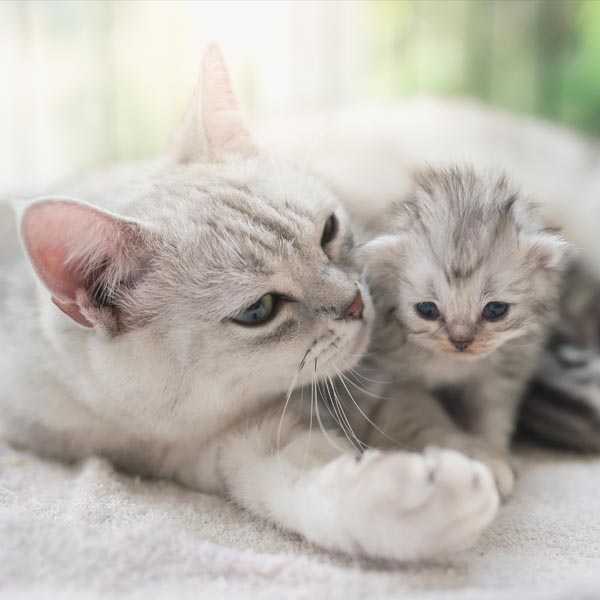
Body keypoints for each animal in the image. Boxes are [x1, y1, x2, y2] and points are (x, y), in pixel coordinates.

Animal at [0, 47, 496, 564]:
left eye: (328, 231)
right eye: (258, 310)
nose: (357, 302)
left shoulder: (381, 375)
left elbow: (417, 414)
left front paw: (473, 454)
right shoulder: (239, 450)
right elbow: (315, 497)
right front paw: (431, 503)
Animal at [356, 166, 572, 500]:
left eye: (495, 310)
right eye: (427, 309)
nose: (460, 342)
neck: (453, 365)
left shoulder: (501, 376)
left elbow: (492, 418)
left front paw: (500, 454)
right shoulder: (394, 377)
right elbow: (420, 416)